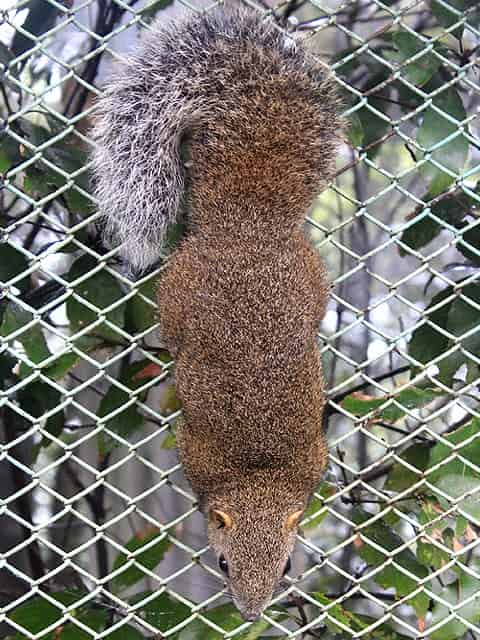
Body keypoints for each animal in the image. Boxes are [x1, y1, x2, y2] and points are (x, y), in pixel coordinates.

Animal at [92, 5, 342, 624]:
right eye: (223, 564)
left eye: (286, 567)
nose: (250, 614)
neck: (258, 474)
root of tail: (248, 222)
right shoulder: (197, 460)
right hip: (177, 294)